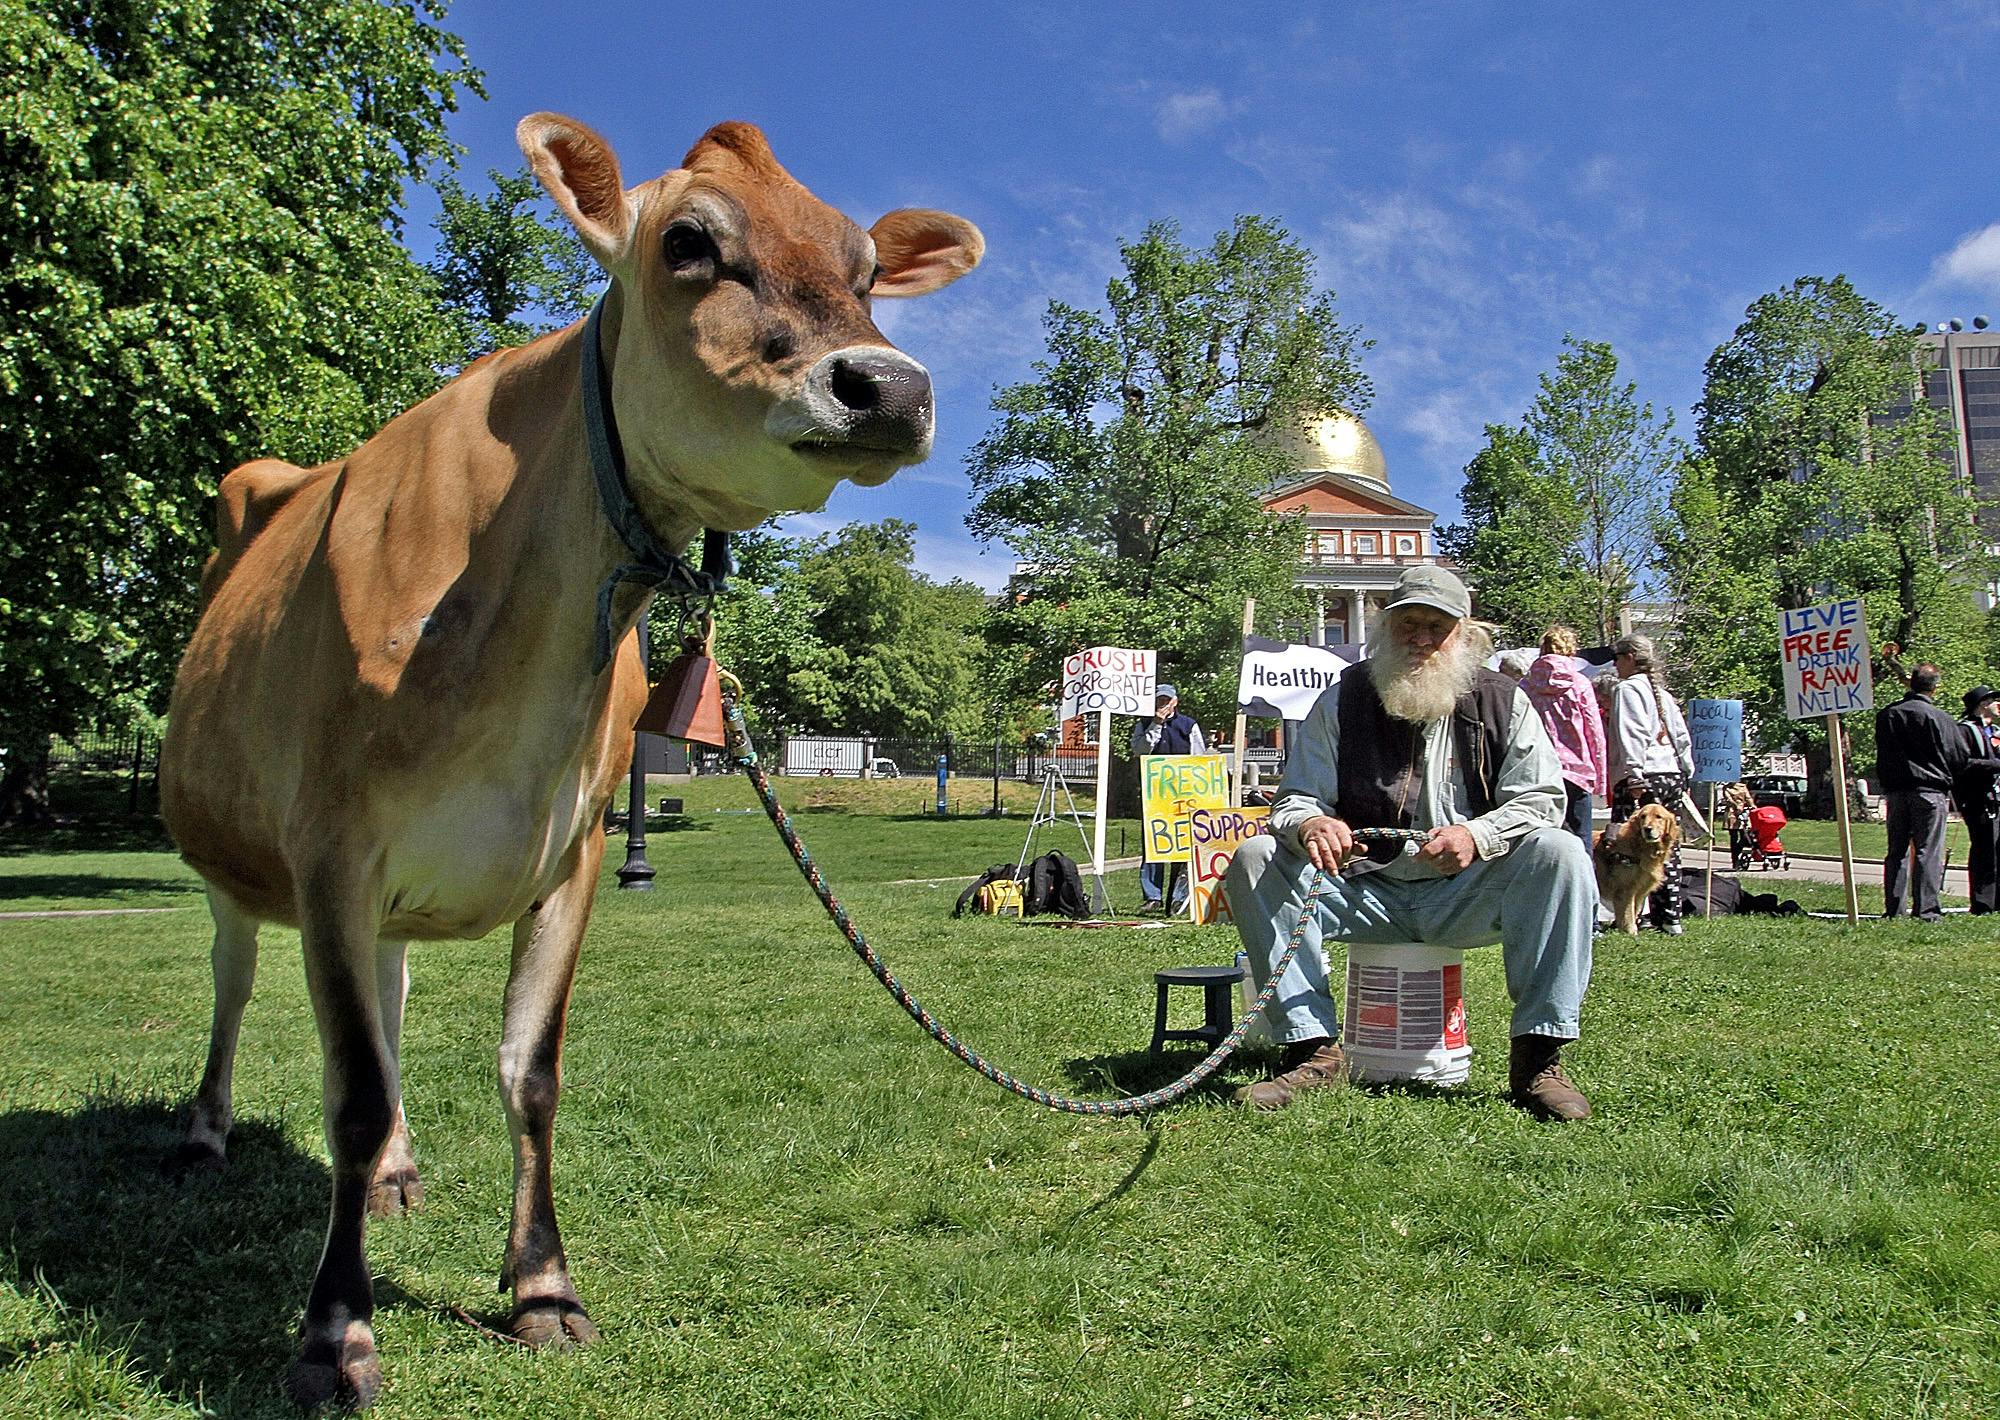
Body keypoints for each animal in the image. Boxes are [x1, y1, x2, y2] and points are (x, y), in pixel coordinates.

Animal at [158, 113, 982, 1409]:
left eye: (862, 269)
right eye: (687, 241)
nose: (888, 385)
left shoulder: (573, 847)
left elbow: (527, 1073)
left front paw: (541, 1284)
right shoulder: (331, 844)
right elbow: (349, 1093)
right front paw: (333, 1333)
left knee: (389, 996)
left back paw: (396, 1177)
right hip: (228, 858)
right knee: (234, 983)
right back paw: (203, 1131)